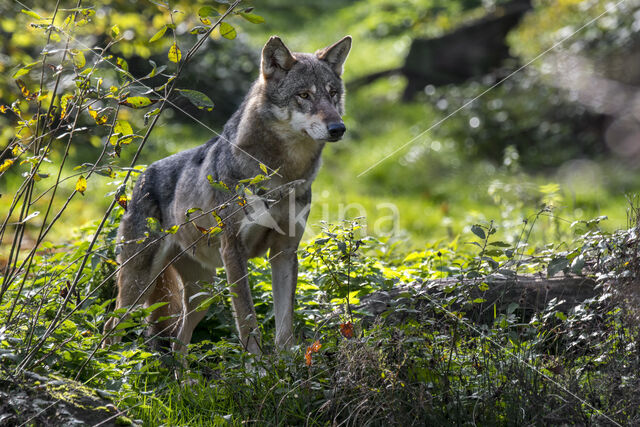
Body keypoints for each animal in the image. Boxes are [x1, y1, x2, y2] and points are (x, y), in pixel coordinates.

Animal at [103, 35, 352, 354]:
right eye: (304, 95)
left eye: (332, 94)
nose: (338, 128)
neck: (282, 174)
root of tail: (141, 176)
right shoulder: (234, 252)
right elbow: (247, 322)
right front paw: (257, 366)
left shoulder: (284, 252)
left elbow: (285, 326)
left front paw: (286, 364)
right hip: (137, 287)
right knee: (111, 327)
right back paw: (109, 363)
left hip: (202, 296)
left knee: (180, 340)